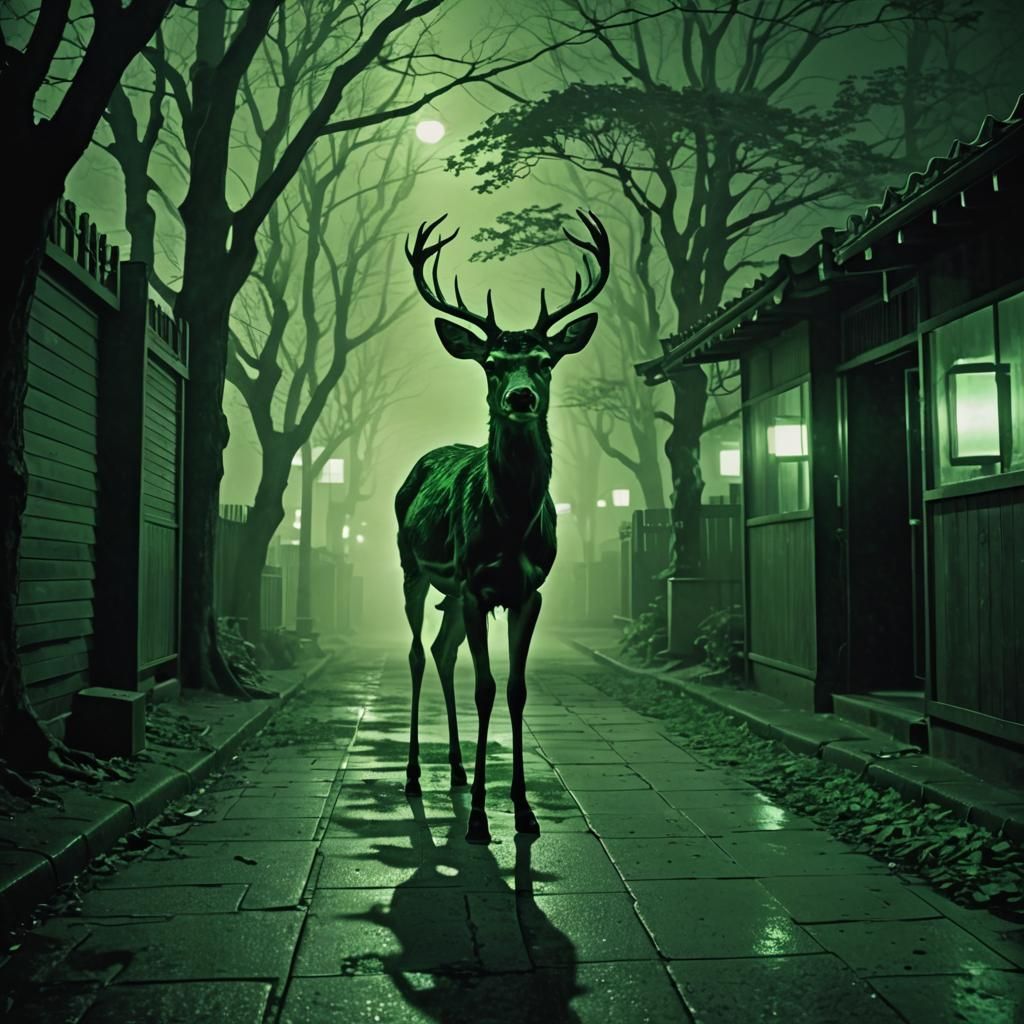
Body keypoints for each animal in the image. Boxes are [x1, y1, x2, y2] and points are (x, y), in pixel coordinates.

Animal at [395, 209, 610, 844]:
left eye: (545, 361)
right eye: (491, 365)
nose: (519, 397)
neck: (511, 526)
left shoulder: (527, 590)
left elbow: (514, 690)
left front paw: (524, 811)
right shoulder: (474, 583)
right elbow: (486, 688)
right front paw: (478, 823)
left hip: (452, 594)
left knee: (441, 651)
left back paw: (458, 770)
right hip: (414, 568)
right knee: (417, 654)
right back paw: (414, 777)